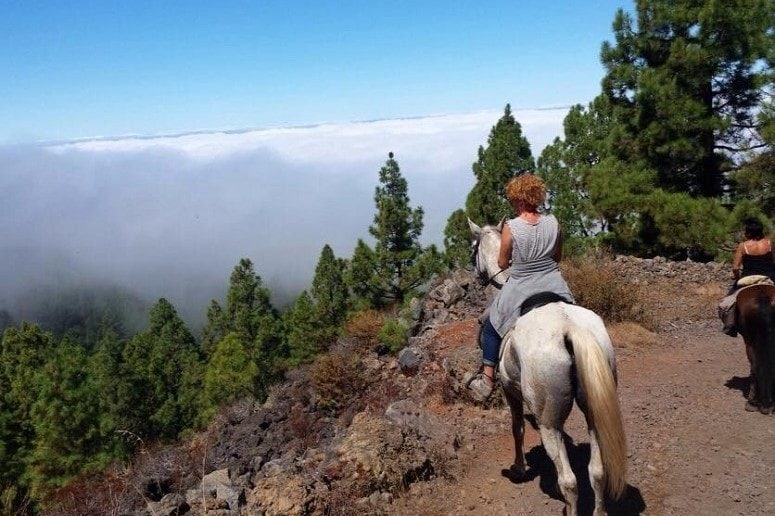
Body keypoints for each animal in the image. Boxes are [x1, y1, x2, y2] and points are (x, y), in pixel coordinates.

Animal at [470, 220, 628, 516]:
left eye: (473, 249)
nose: (477, 276)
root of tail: (571, 329)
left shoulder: (510, 390)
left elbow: (517, 427)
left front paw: (519, 468)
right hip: (592, 411)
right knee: (597, 472)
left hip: (548, 422)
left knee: (570, 481)